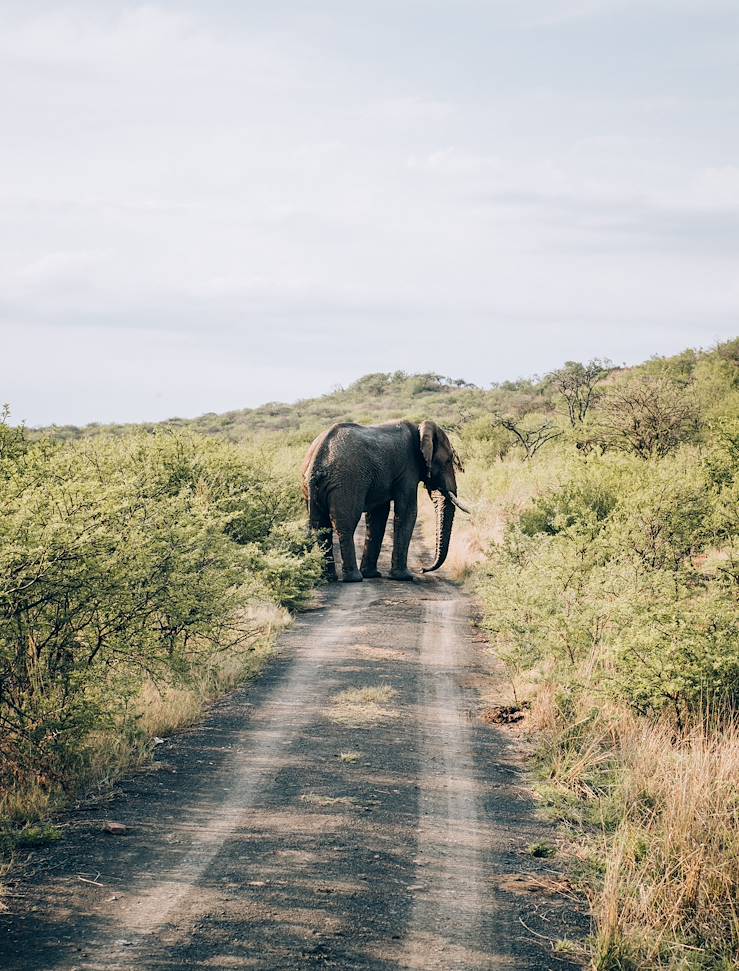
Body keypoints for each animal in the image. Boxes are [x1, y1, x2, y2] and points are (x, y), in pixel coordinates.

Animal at [302, 414, 472, 580]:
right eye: (448, 460)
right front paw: (404, 577)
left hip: (312, 486)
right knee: (346, 524)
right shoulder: (408, 469)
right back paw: (354, 578)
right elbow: (408, 512)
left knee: (321, 527)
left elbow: (378, 516)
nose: (422, 569)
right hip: (347, 482)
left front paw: (372, 575)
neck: (420, 430)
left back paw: (329, 577)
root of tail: (318, 457)